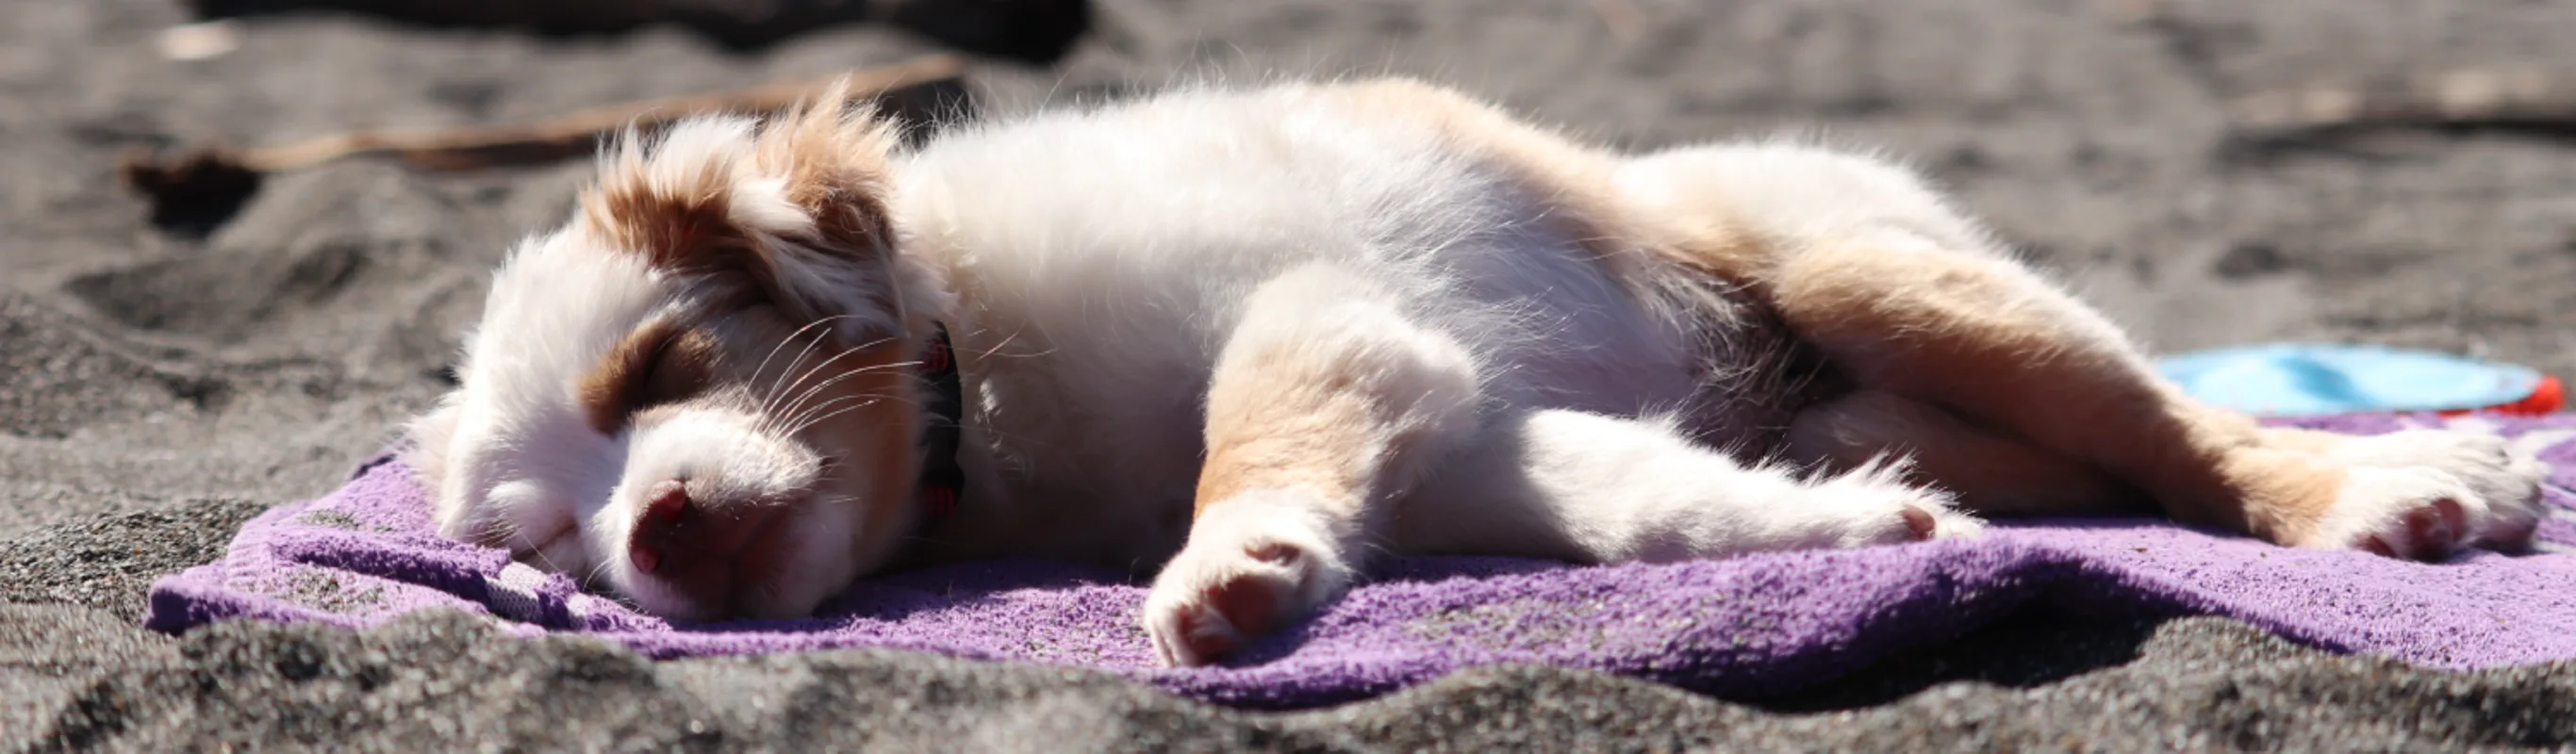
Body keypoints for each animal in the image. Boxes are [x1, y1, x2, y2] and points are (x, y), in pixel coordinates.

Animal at [412, 75, 2545, 664]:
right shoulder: (1458, 423)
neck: (977, 386)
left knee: (2181, 433)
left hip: (1876, 266)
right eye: (548, 552)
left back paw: (2385, 482)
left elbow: (1248, 433)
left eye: (661, 369)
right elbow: (1619, 503)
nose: (665, 544)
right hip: (1883, 375)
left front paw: (1230, 568)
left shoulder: (1321, 314)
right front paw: (1828, 534)